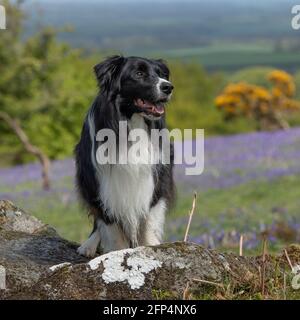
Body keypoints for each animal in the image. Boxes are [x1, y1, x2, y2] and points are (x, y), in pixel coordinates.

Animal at [74, 55, 175, 258]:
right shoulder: (101, 185)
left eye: (161, 73)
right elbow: (112, 228)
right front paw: (118, 253)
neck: (132, 123)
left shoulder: (156, 179)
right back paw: (88, 245)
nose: (168, 87)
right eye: (139, 73)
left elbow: (149, 221)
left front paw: (153, 248)